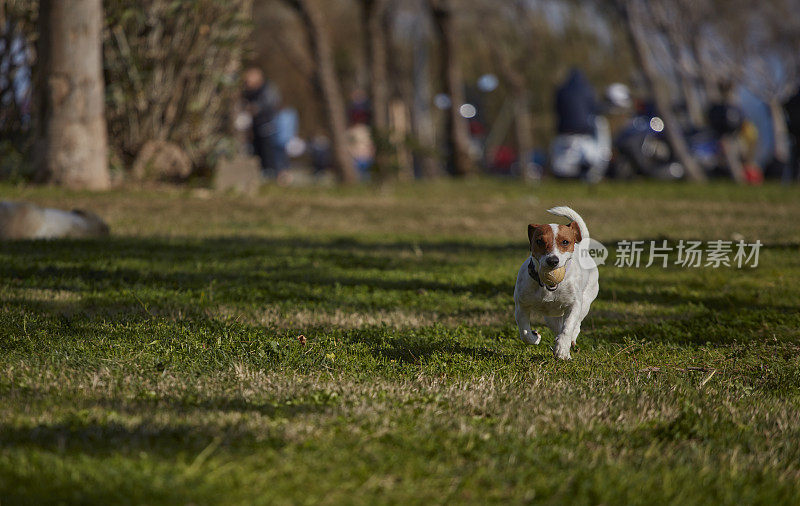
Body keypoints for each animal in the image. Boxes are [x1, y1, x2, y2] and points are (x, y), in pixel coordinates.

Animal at [516, 206, 596, 360]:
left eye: (565, 242)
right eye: (539, 241)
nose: (552, 261)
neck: (548, 287)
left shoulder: (574, 304)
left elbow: (568, 327)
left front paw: (562, 350)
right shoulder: (521, 305)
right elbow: (524, 333)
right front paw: (535, 337)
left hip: (586, 302)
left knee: (576, 325)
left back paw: (569, 341)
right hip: (550, 316)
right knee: (556, 325)